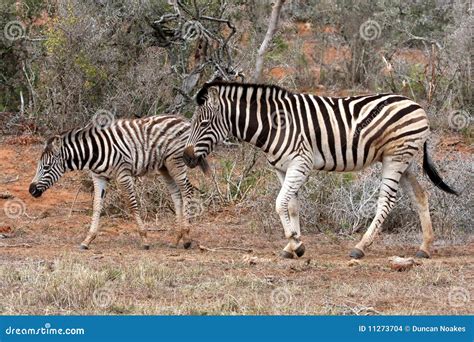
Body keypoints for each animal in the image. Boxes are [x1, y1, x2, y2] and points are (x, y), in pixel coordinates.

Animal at [29, 114, 207, 248]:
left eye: (46, 167)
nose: (31, 190)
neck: (94, 152)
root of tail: (184, 121)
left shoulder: (123, 174)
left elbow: (132, 205)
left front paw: (144, 238)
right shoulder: (99, 177)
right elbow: (97, 206)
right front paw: (88, 239)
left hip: (176, 162)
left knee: (187, 190)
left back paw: (187, 236)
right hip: (165, 167)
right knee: (177, 195)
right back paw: (178, 238)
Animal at [182, 82, 460, 260]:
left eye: (203, 124)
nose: (186, 157)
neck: (273, 125)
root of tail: (417, 105)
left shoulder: (300, 163)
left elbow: (279, 204)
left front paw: (295, 243)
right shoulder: (283, 169)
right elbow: (290, 206)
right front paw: (292, 245)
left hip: (395, 158)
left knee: (386, 201)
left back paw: (360, 247)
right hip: (406, 161)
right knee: (420, 196)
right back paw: (425, 247)